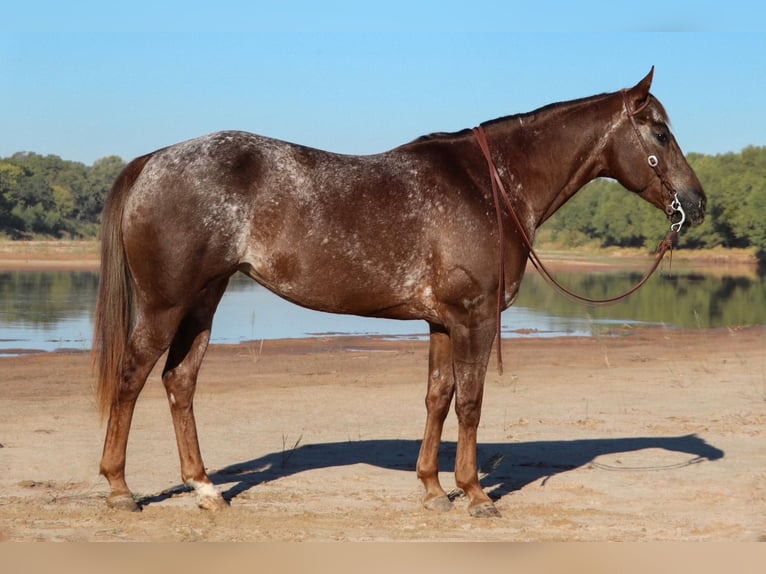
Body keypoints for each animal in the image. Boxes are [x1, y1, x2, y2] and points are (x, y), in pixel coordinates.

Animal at [93, 67, 704, 516]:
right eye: (660, 133)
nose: (695, 204)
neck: (491, 186)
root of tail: (152, 161)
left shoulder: (442, 321)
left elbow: (438, 398)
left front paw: (433, 490)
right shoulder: (475, 318)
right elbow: (471, 402)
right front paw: (476, 494)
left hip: (204, 300)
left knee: (179, 382)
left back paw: (205, 489)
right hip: (166, 304)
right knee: (132, 377)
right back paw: (120, 490)